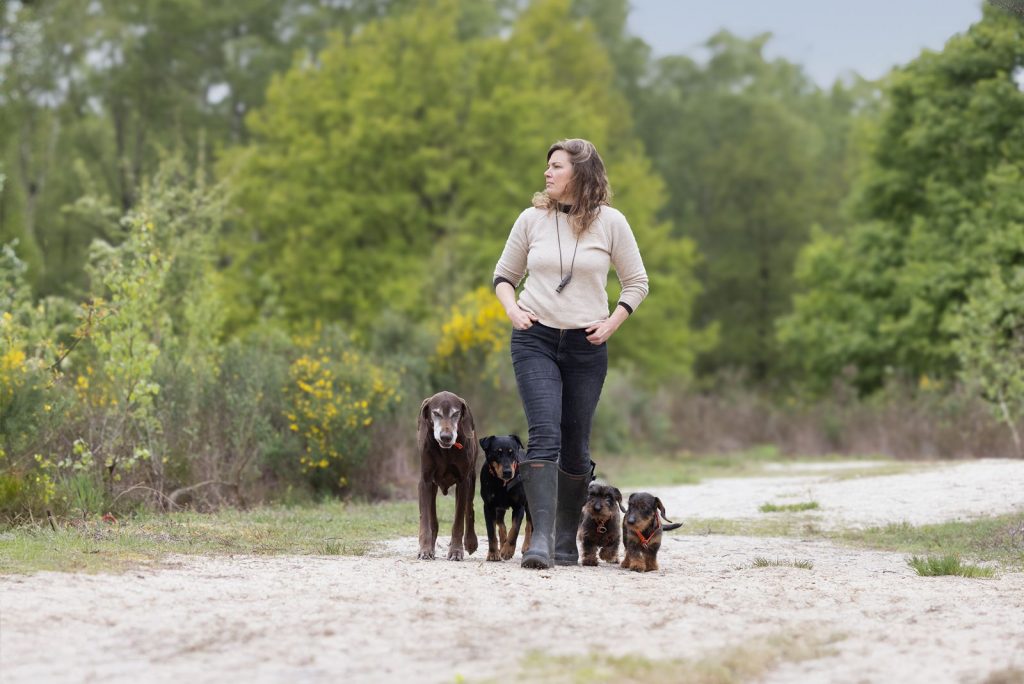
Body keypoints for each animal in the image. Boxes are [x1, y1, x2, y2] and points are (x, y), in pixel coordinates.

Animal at [417, 391, 479, 561]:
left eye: (456, 414)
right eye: (436, 413)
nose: (446, 436)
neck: (445, 451)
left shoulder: (463, 481)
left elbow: (458, 521)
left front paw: (456, 550)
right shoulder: (425, 481)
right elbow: (426, 520)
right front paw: (425, 549)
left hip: (471, 480)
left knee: (469, 509)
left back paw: (470, 542)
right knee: (433, 520)